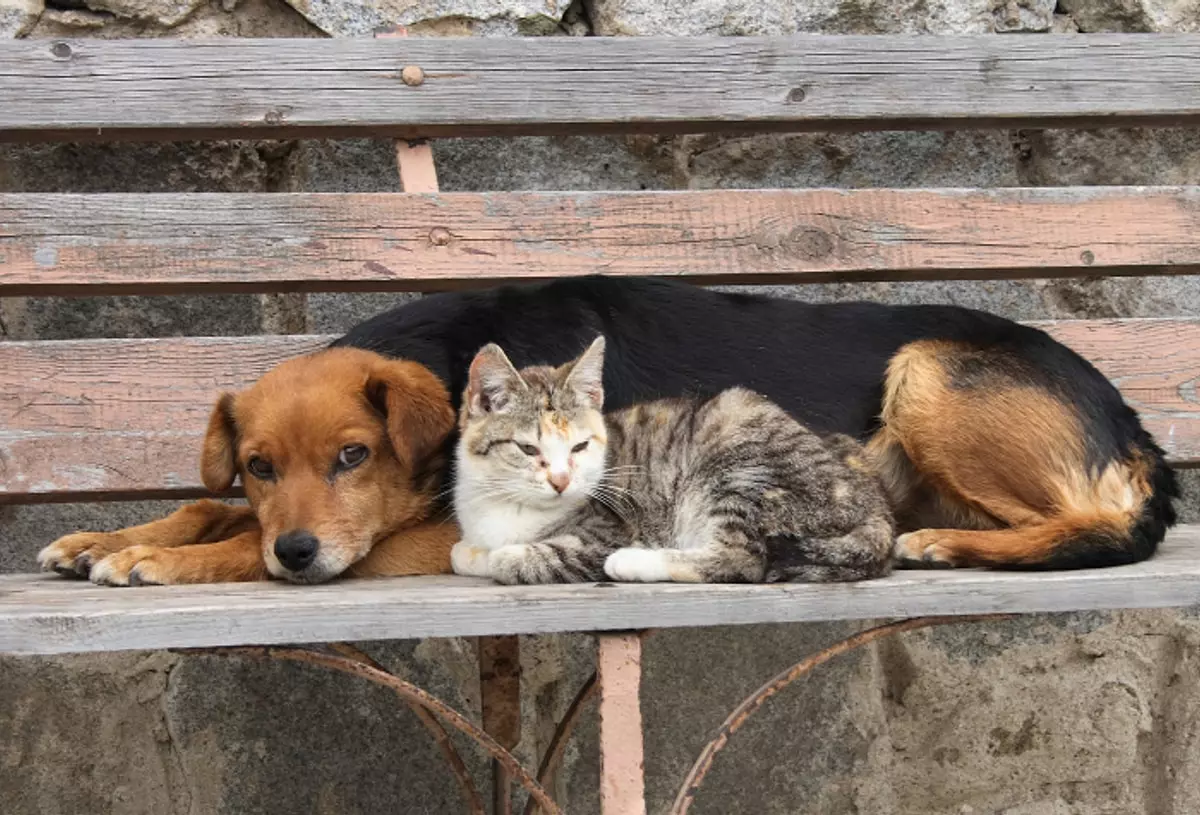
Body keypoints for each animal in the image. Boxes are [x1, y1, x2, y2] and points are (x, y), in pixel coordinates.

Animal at [451, 338, 892, 585]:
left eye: (579, 447)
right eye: (528, 449)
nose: (561, 480)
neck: (506, 505)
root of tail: (877, 509)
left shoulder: (606, 530)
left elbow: (513, 558)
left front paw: (498, 556)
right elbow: (462, 553)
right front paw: (473, 552)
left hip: (740, 460)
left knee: (742, 558)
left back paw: (633, 563)